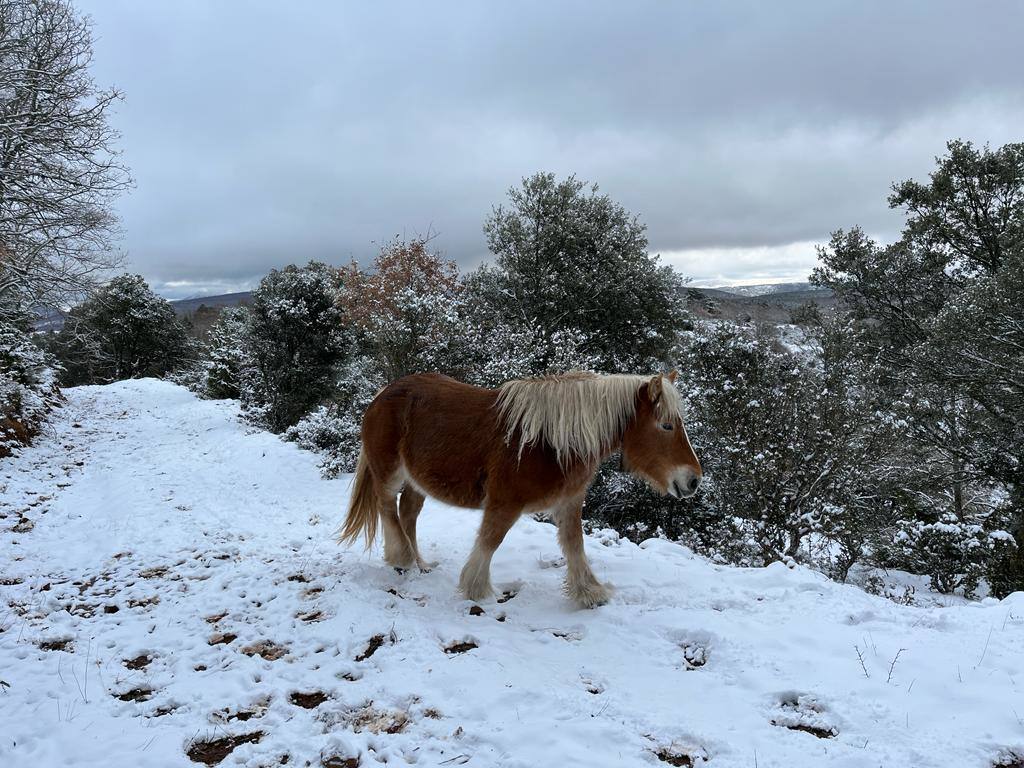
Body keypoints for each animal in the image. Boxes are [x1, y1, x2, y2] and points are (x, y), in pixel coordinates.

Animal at [339, 370, 700, 610]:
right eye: (667, 425)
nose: (693, 480)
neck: (550, 443)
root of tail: (383, 393)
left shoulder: (568, 503)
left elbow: (574, 546)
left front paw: (589, 592)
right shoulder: (504, 503)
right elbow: (490, 540)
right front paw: (477, 589)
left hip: (418, 480)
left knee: (408, 513)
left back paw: (420, 563)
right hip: (388, 472)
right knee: (387, 506)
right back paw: (400, 557)